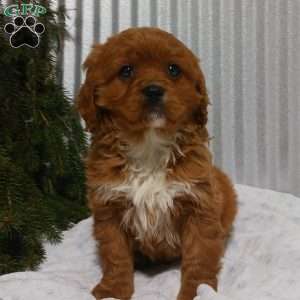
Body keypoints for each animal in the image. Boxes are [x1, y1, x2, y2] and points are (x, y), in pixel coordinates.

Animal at [77, 28, 237, 300]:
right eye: (126, 70)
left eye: (173, 69)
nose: (153, 90)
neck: (148, 146)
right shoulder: (109, 208)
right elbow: (115, 255)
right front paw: (113, 290)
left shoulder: (199, 206)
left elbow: (200, 256)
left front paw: (197, 291)